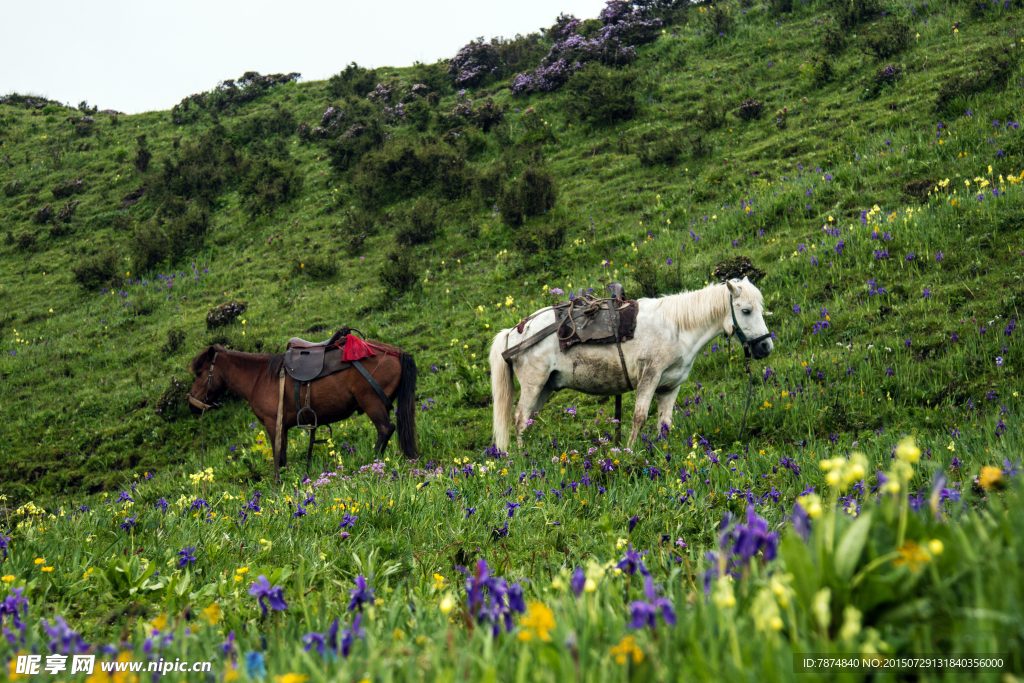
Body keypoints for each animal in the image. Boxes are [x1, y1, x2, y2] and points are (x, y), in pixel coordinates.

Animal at [188, 342, 415, 481]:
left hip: (371, 402)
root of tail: (396, 352)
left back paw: (372, 463)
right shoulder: (282, 427)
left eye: (199, 373)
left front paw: (278, 483)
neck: (259, 378)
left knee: (385, 429)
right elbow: (283, 455)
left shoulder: (273, 423)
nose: (192, 405)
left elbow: (278, 455)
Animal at [491, 274, 770, 450]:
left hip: (546, 387)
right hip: (533, 384)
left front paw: (663, 454)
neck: (676, 328)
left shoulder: (670, 386)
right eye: (746, 310)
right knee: (519, 419)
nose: (766, 346)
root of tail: (517, 330)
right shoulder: (650, 377)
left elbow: (664, 424)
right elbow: (639, 417)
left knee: (527, 420)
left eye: (760, 308)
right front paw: (630, 452)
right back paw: (523, 457)